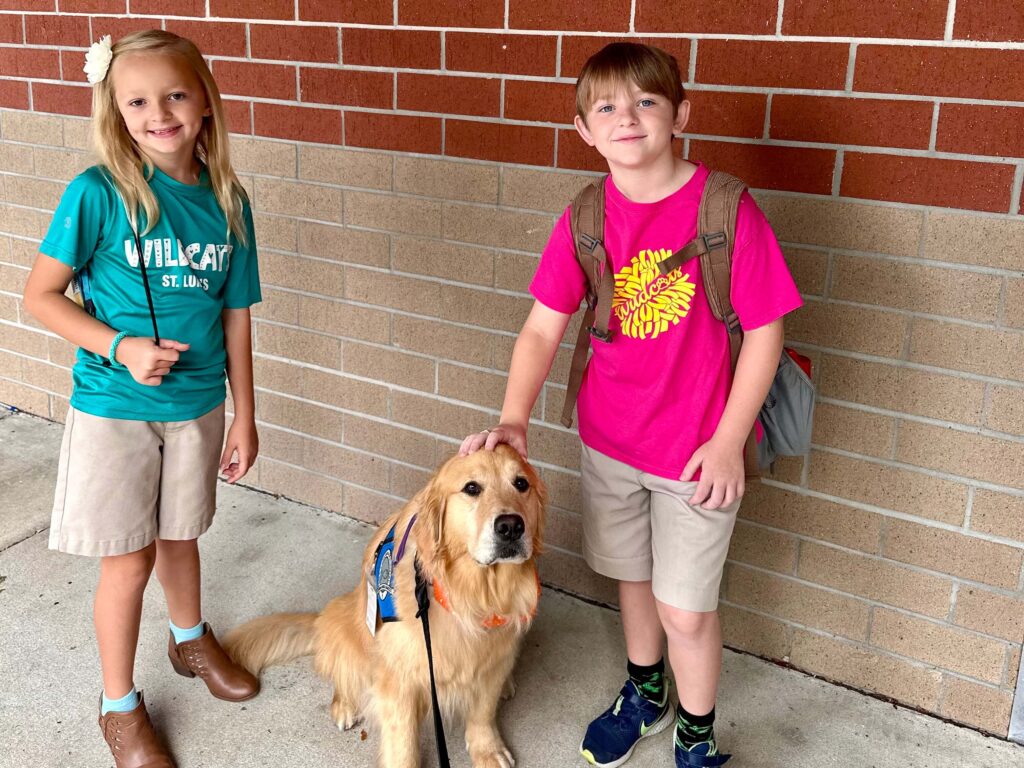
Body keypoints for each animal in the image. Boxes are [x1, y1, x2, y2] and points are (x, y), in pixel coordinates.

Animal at [223, 444, 544, 768]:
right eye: (471, 488)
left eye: (521, 484)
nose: (511, 526)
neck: (471, 594)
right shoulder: (399, 678)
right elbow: (403, 743)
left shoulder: (493, 661)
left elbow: (483, 711)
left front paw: (488, 749)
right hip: (345, 627)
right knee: (344, 673)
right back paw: (345, 706)